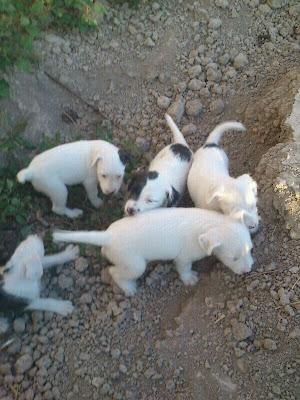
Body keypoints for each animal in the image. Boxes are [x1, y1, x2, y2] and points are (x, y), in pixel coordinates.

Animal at [53, 206, 253, 296]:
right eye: (234, 258)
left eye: (250, 250)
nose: (247, 271)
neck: (207, 225)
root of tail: (107, 236)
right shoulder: (184, 257)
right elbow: (184, 268)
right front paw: (189, 279)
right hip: (134, 264)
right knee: (113, 271)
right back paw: (129, 288)